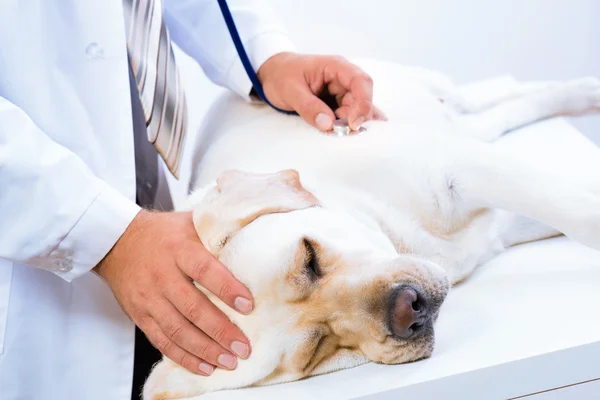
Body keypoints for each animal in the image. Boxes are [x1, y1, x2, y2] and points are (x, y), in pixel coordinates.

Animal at [142, 57, 600, 398]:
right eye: (316, 350)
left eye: (309, 257)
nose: (409, 309)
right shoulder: (496, 219)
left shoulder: (457, 168)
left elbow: (579, 213)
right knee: (493, 116)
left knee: (485, 101)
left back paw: (583, 91)